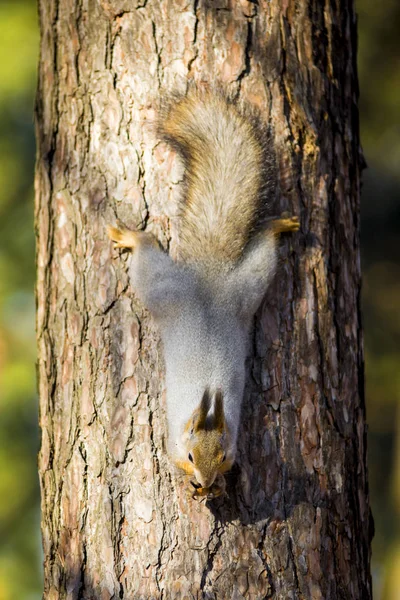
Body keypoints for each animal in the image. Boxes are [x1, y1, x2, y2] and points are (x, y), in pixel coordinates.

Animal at [108, 89, 298, 500]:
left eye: (224, 457)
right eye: (192, 456)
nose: (206, 481)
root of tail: (208, 274)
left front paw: (215, 490)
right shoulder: (173, 441)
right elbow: (172, 457)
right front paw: (197, 486)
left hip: (246, 289)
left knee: (263, 250)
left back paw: (276, 225)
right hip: (165, 287)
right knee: (146, 253)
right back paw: (132, 237)